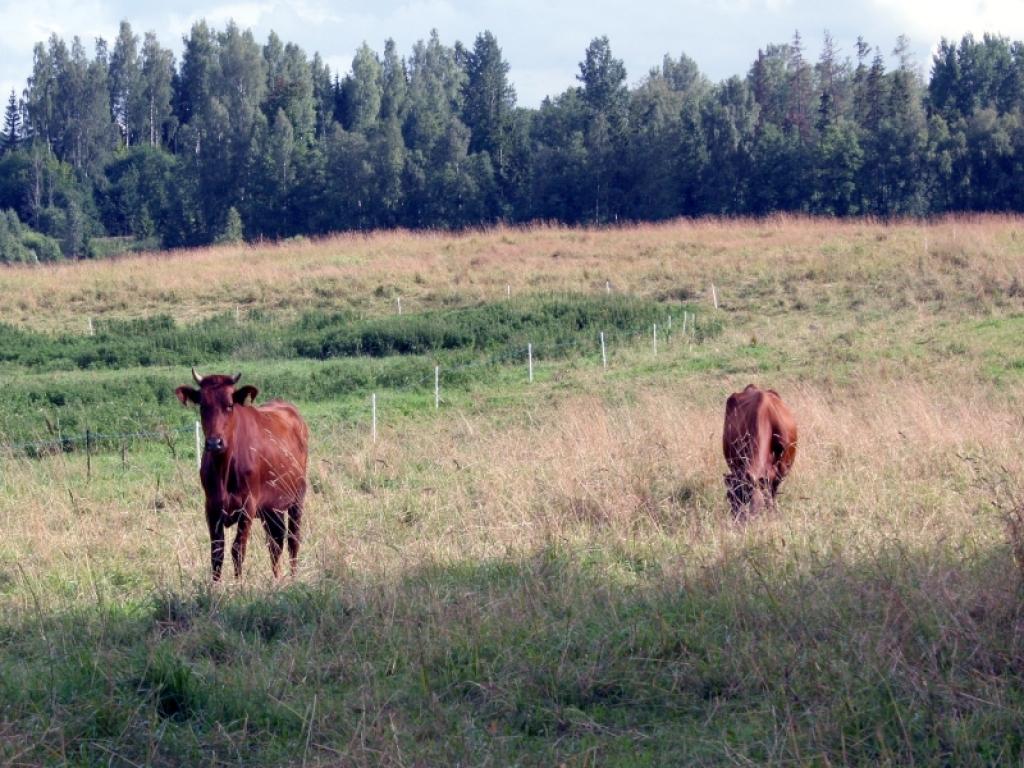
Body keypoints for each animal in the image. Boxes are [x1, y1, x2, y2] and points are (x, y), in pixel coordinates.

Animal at [176, 370, 307, 581]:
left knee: (293, 540)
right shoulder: (211, 507)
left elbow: (237, 549)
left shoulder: (248, 505)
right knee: (276, 542)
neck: (224, 468)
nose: (214, 443)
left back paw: (294, 577)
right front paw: (215, 586)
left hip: (297, 498)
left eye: (230, 405)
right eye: (202, 406)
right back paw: (277, 579)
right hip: (272, 507)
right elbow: (216, 553)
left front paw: (239, 585)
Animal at [724, 387, 794, 520]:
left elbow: (772, 495)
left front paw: (773, 513)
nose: (737, 521)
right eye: (729, 498)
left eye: (751, 500)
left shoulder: (779, 472)